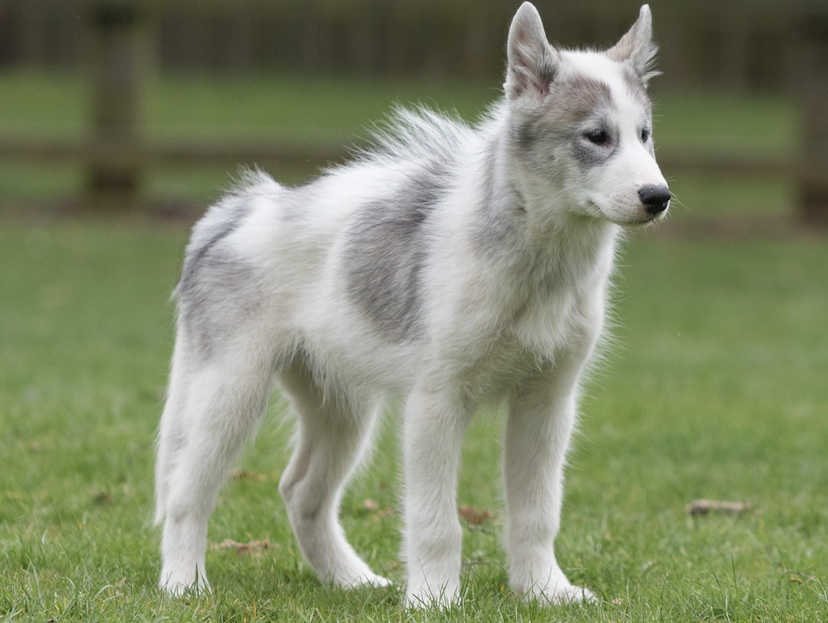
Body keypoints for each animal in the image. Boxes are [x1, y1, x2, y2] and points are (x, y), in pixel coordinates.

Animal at [155, 2, 668, 608]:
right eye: (597, 136)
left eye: (644, 135)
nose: (658, 197)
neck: (539, 262)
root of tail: (241, 209)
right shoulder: (436, 401)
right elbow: (436, 519)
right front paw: (435, 598)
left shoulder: (548, 401)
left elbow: (537, 511)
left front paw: (545, 590)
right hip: (229, 390)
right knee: (187, 491)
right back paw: (183, 584)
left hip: (340, 404)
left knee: (301, 492)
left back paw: (350, 580)